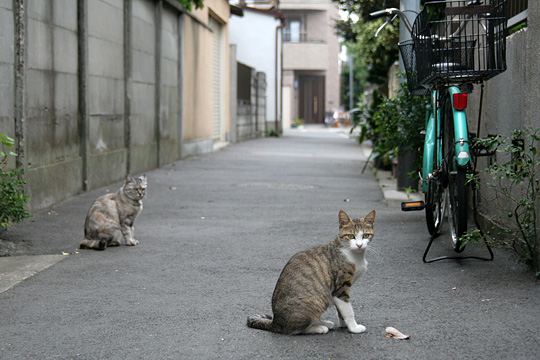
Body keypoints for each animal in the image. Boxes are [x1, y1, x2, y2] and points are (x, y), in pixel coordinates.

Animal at [248, 210, 376, 336]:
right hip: (315, 301)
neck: (353, 254)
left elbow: (341, 310)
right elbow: (348, 309)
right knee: (293, 330)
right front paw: (354, 327)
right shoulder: (340, 287)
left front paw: (344, 324)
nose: (359, 245)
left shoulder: (338, 291)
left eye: (365, 235)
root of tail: (276, 322)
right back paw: (319, 327)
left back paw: (323, 322)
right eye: (351, 236)